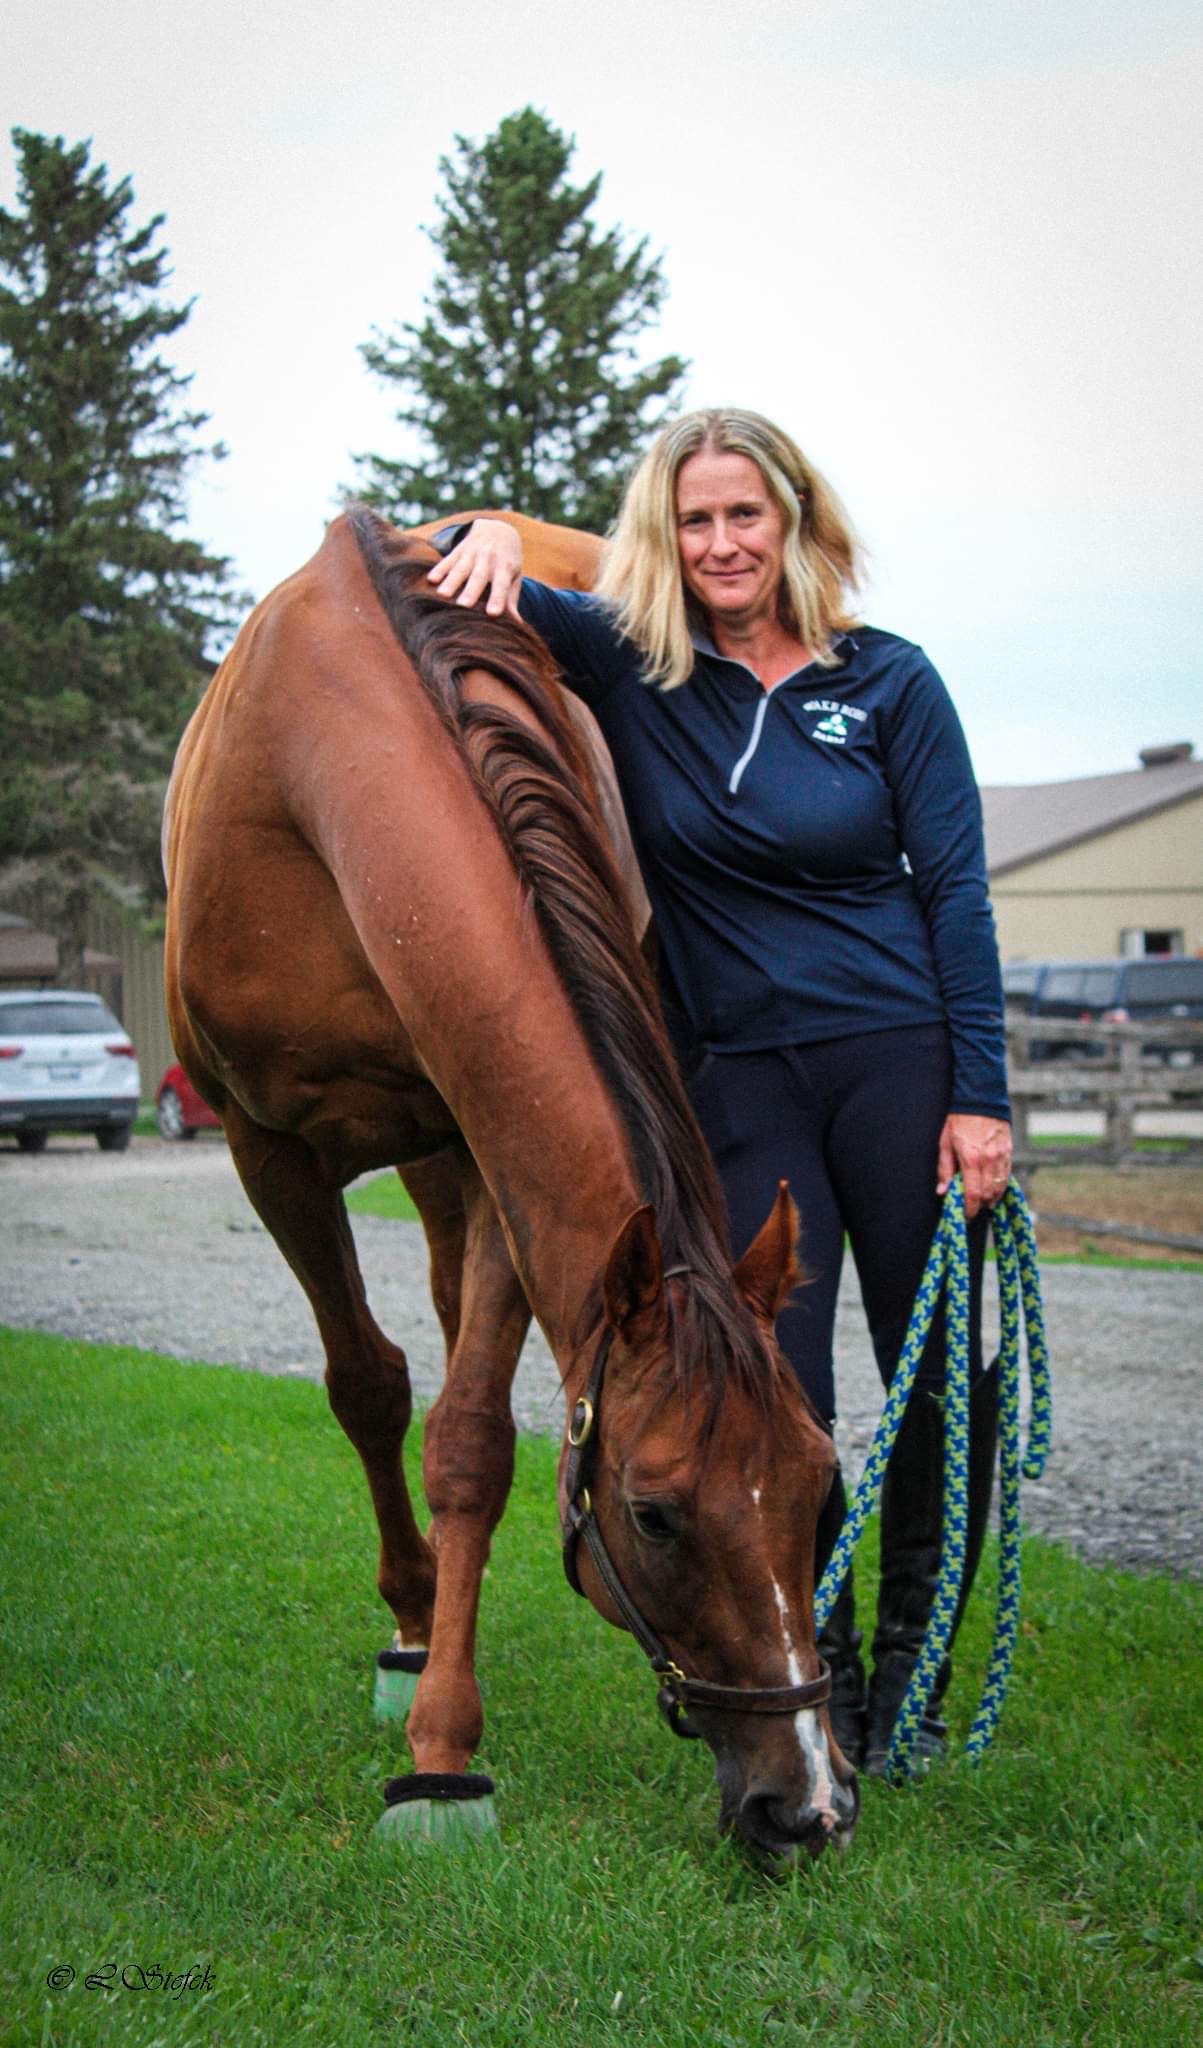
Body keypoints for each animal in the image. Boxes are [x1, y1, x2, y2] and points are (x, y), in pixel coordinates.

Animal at [161, 507, 856, 1859]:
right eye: (655, 1512)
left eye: (824, 1489)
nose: (806, 1804)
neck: (321, 761)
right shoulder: (266, 1151)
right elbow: (365, 1385)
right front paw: (423, 1672)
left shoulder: (491, 1163)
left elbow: (472, 1441)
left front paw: (445, 1743)